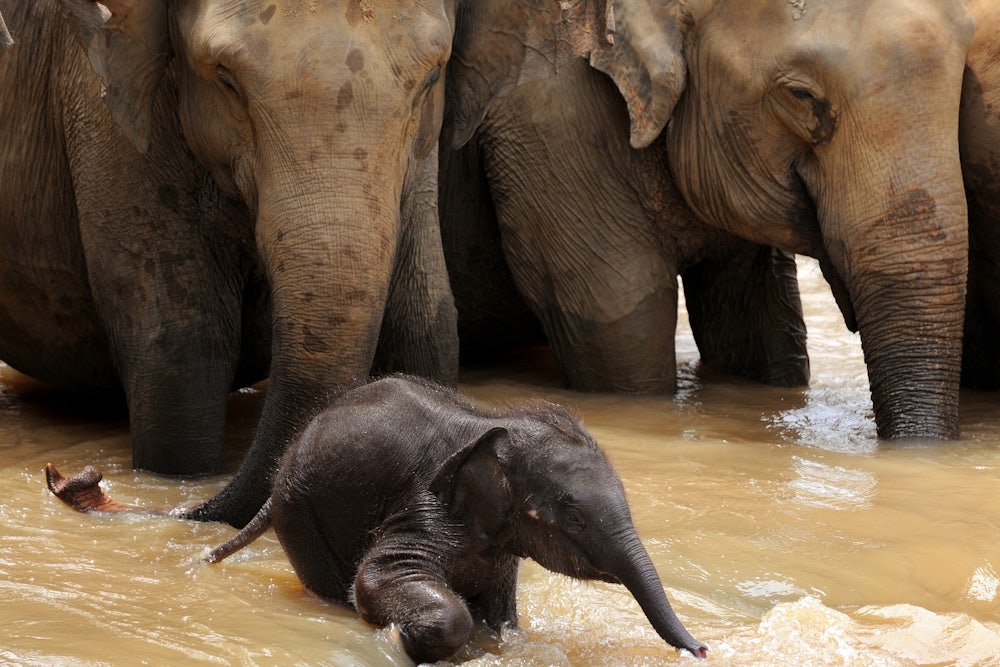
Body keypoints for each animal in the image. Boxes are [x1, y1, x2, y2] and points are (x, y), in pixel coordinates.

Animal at [0, 0, 458, 527]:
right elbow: (184, 353)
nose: (75, 476)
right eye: (225, 79)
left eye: (431, 78)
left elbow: (426, 327)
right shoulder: (103, 115)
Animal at [46, 374, 708, 663]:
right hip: (301, 512)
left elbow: (502, 615)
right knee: (333, 584)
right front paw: (405, 639)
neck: (494, 424)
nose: (703, 650)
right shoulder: (424, 504)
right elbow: (380, 577)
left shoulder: (497, 542)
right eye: (571, 515)